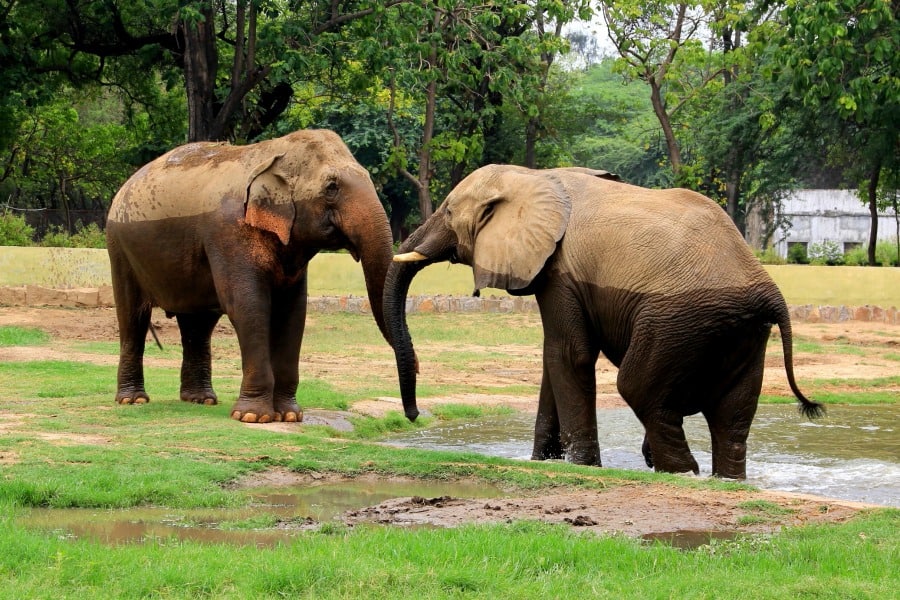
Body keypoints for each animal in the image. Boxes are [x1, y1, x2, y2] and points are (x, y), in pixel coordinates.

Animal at [105, 129, 394, 424]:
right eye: (331, 187)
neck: (272, 152)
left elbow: (293, 312)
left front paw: (290, 415)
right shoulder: (229, 234)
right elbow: (248, 306)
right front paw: (254, 416)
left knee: (198, 324)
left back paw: (201, 399)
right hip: (119, 249)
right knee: (132, 316)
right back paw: (133, 399)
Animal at [384, 163, 820, 478]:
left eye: (447, 211)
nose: (414, 415)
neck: (533, 175)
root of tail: (769, 292)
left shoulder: (560, 271)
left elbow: (568, 354)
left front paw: (581, 466)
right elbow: (554, 362)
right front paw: (542, 462)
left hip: (679, 320)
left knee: (641, 390)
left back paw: (679, 472)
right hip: (740, 331)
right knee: (734, 414)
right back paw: (723, 478)